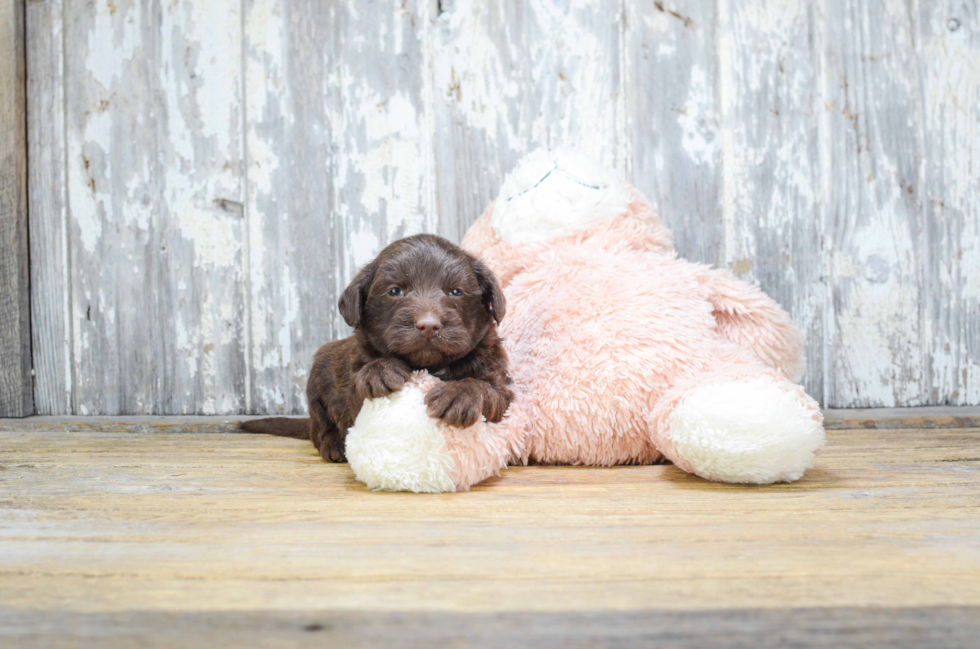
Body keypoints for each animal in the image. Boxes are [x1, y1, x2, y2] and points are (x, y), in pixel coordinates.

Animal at [239, 233, 512, 460]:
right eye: (395, 291)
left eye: (456, 291)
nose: (428, 325)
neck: (430, 365)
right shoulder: (353, 381)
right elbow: (362, 387)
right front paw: (379, 371)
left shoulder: (498, 382)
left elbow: (486, 389)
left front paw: (459, 394)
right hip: (317, 377)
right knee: (320, 428)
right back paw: (335, 445)